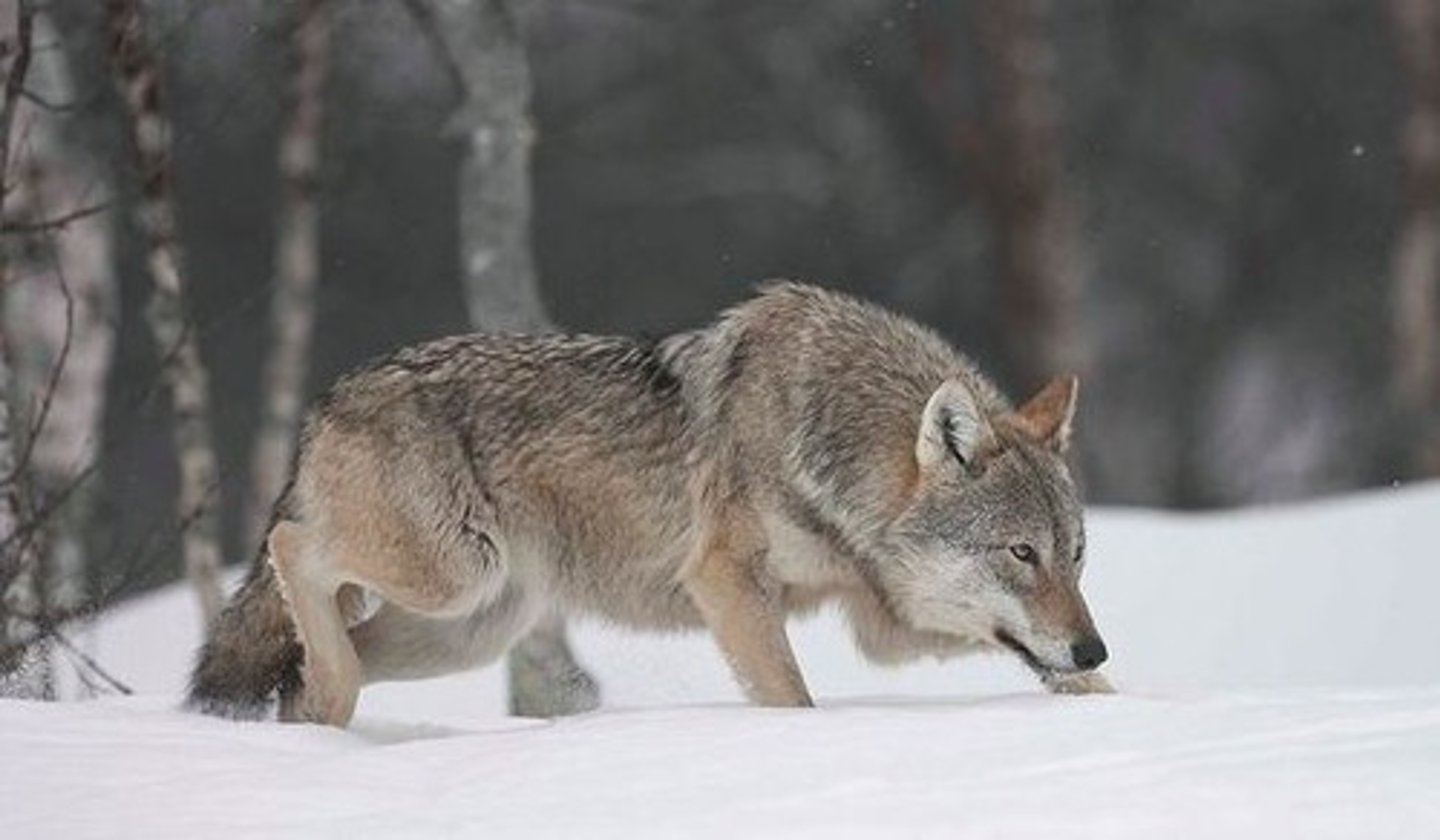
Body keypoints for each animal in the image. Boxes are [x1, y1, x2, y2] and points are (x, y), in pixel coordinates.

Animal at [188, 282, 1111, 726]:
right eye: (1019, 553)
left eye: (1074, 556)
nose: (1091, 642)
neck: (826, 437)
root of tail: (326, 400)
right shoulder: (729, 584)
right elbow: (791, 698)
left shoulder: (881, 620)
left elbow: (1071, 683)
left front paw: (1120, 713)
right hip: (452, 574)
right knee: (291, 547)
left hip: (467, 627)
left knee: (313, 659)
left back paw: (317, 716)